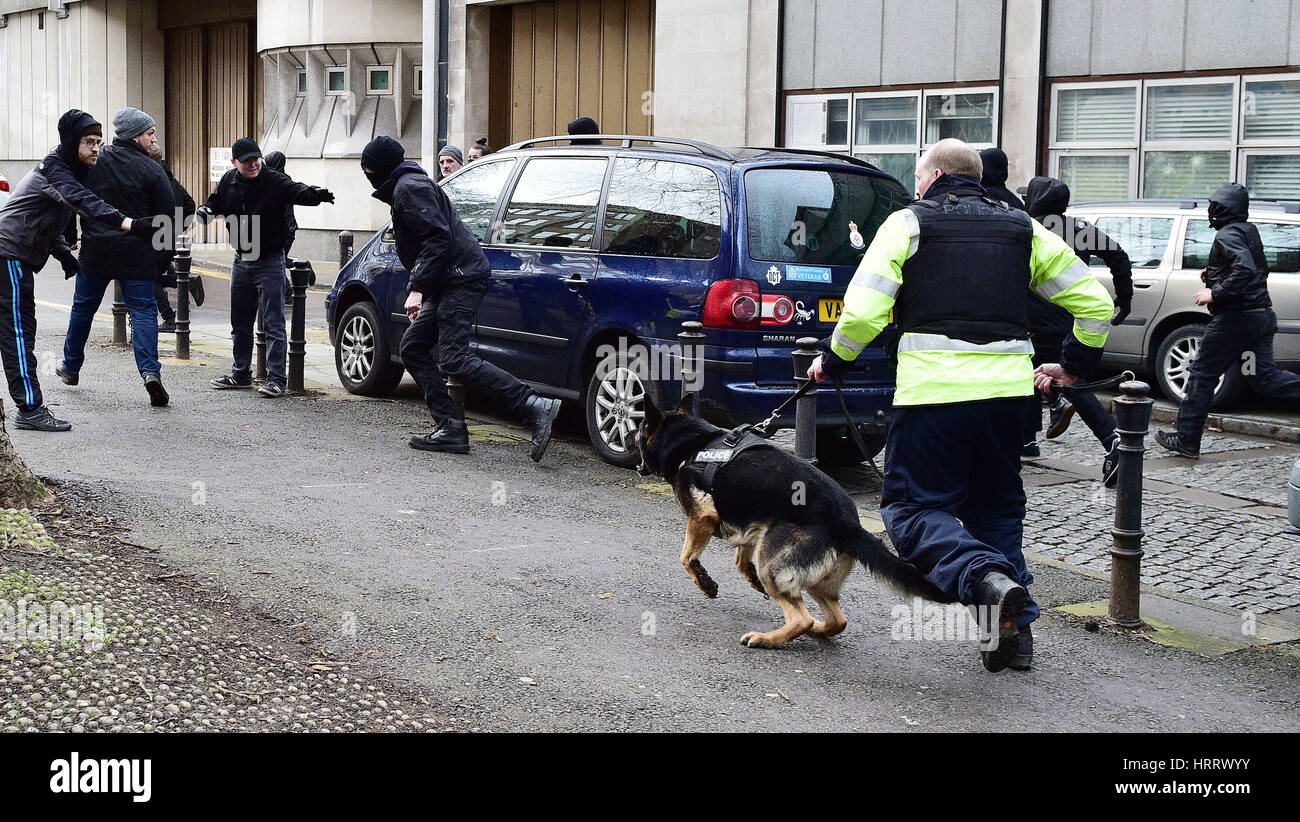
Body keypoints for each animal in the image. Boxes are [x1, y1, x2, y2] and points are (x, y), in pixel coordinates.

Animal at [634, 392, 951, 647]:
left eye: (637, 434)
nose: (636, 461)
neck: (690, 443)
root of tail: (847, 524)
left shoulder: (702, 518)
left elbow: (686, 557)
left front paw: (704, 581)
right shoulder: (752, 528)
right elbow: (740, 560)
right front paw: (748, 578)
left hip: (773, 563)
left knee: (802, 618)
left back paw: (767, 639)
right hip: (810, 578)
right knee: (837, 620)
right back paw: (817, 629)